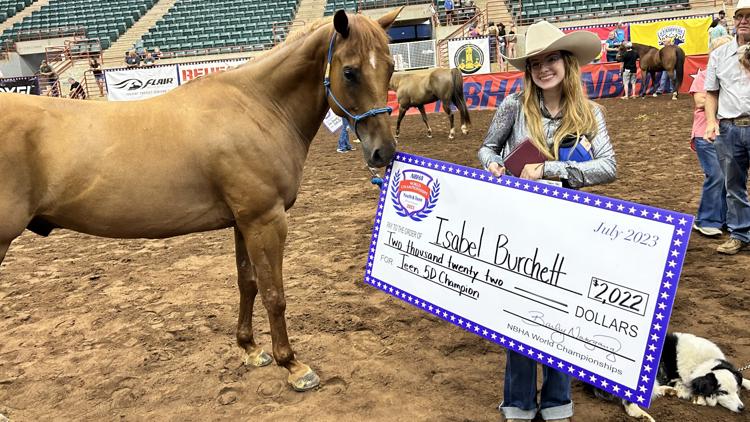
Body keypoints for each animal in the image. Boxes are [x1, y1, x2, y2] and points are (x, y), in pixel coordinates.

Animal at [0, 8, 402, 395]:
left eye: (390, 67)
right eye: (349, 72)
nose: (383, 152)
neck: (258, 106)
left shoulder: (244, 222)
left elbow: (248, 282)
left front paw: (250, 349)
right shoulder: (266, 220)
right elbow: (274, 293)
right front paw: (293, 366)